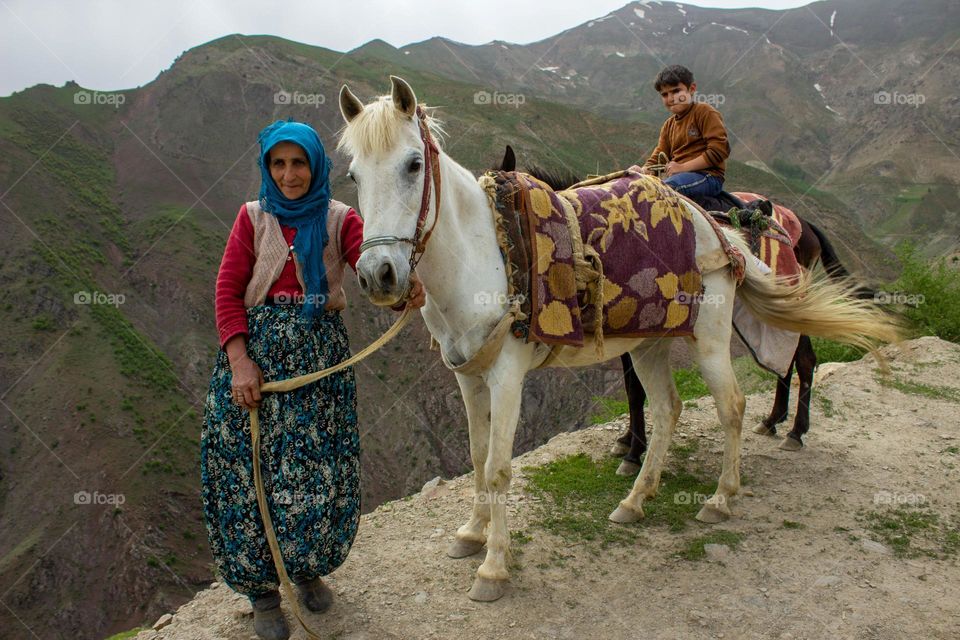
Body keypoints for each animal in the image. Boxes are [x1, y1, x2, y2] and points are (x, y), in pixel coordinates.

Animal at [492, 147, 872, 472]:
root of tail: (803, 223)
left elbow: (638, 390)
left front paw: (634, 452)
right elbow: (633, 389)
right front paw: (628, 441)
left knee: (803, 359)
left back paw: (794, 431)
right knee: (788, 358)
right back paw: (772, 421)